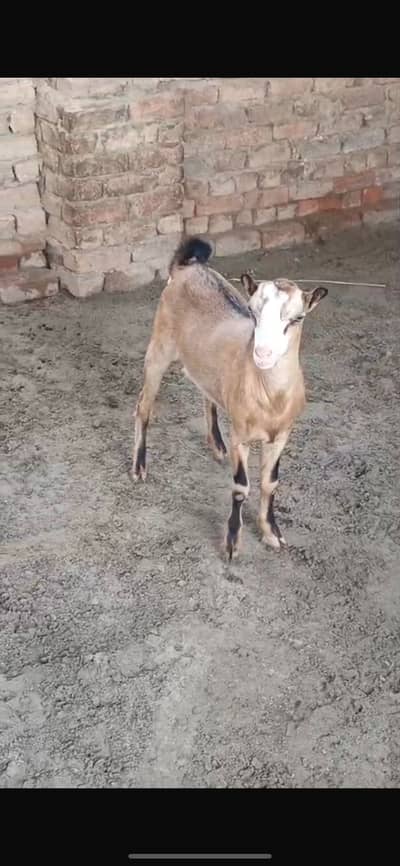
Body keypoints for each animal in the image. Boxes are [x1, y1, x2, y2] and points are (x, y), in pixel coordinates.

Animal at [133, 237, 327, 559]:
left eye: (297, 318)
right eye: (252, 312)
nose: (263, 354)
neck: (269, 399)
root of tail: (189, 267)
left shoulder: (282, 435)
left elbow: (270, 483)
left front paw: (272, 533)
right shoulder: (241, 435)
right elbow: (241, 487)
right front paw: (232, 543)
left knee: (205, 391)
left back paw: (216, 444)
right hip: (159, 346)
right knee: (143, 407)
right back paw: (139, 467)